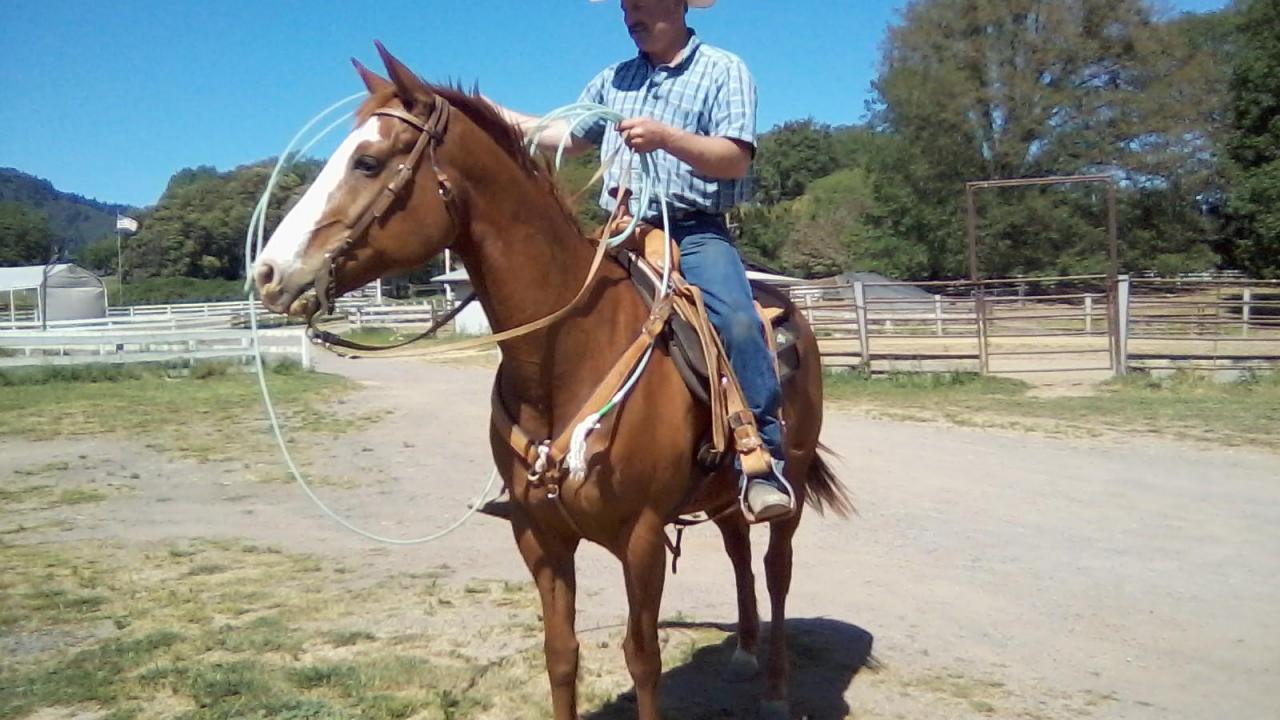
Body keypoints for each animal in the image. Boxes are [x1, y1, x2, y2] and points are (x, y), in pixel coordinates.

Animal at [249, 44, 849, 717]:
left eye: (368, 161)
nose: (268, 272)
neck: (566, 356)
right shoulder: (539, 537)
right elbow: (561, 655)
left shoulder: (641, 537)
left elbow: (643, 659)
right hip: (718, 494)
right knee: (738, 548)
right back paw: (744, 652)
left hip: (790, 479)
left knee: (776, 569)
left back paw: (775, 688)